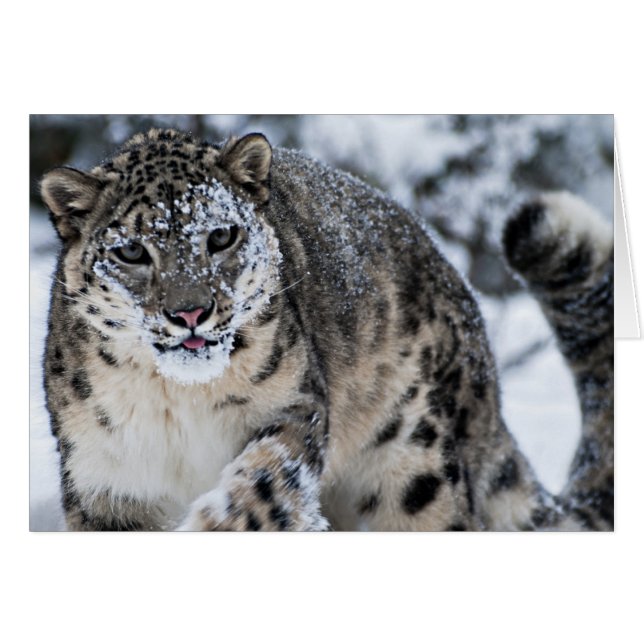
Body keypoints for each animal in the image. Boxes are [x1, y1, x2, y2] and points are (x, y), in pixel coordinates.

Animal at [39, 128, 613, 531]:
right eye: (132, 251)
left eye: (221, 236)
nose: (190, 312)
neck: (178, 402)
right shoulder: (105, 478)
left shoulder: (297, 407)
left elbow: (263, 483)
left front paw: (209, 523)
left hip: (416, 458)